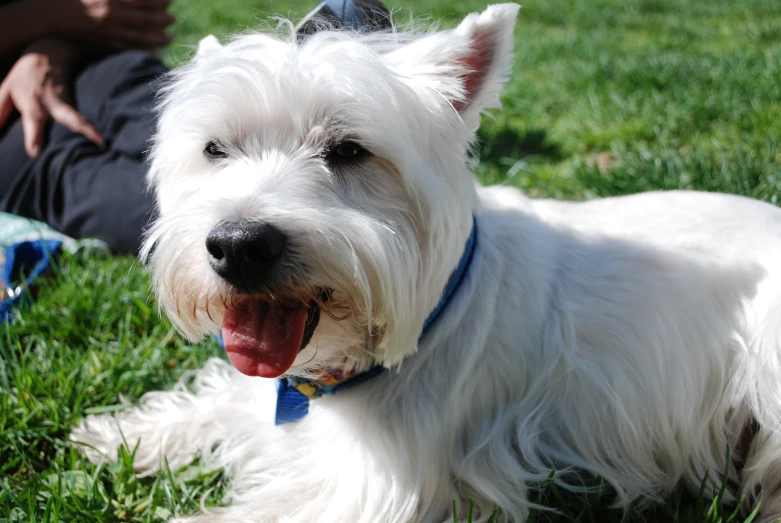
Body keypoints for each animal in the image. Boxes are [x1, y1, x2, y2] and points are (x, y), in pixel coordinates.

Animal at [70, 5, 780, 523]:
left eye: (349, 150)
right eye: (215, 149)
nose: (239, 244)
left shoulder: (378, 485)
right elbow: (217, 402)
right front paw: (119, 434)